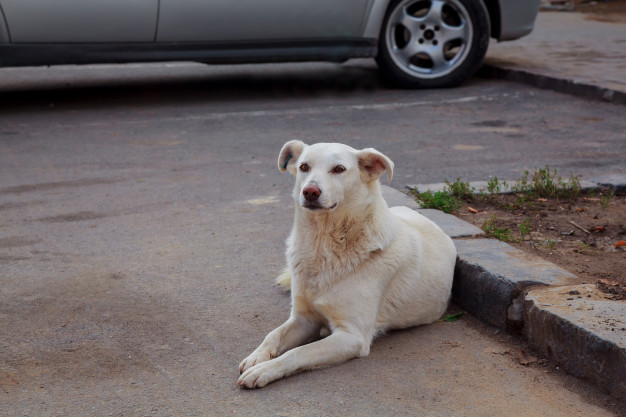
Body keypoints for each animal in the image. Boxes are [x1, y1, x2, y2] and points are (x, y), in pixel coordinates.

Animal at [236, 141, 456, 388]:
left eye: (339, 169)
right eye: (304, 167)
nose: (310, 191)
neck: (322, 245)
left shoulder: (353, 336)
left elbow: (297, 352)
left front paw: (264, 370)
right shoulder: (304, 319)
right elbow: (273, 334)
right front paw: (257, 356)